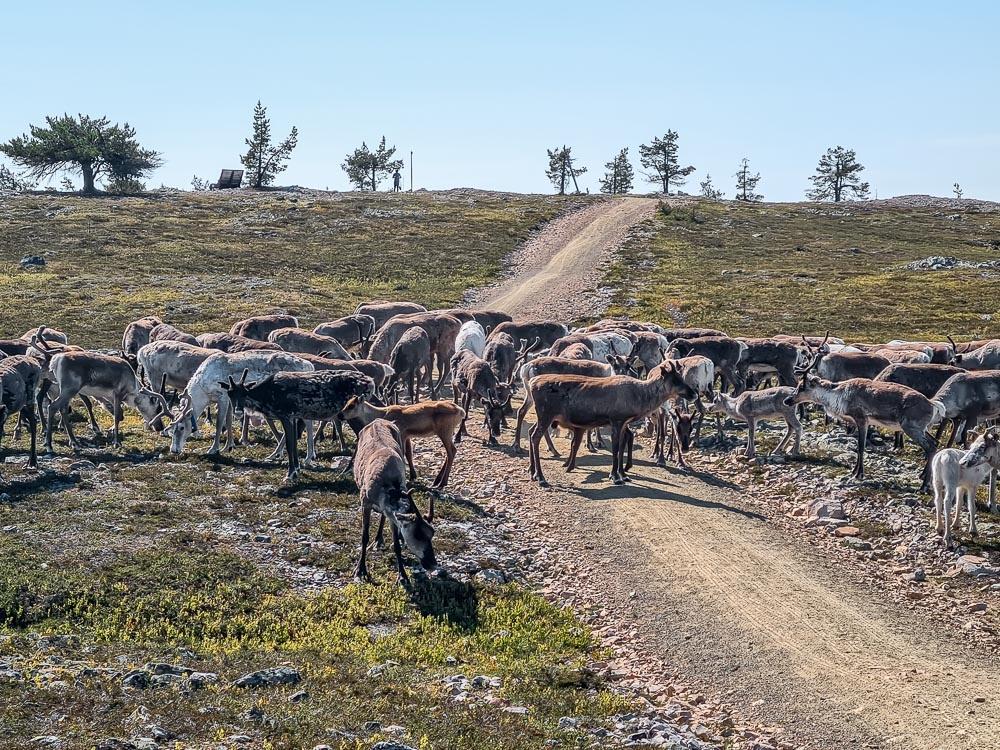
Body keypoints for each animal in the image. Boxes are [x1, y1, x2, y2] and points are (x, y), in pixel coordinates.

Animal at [351, 418, 436, 585]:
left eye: (432, 533)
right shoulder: (365, 502)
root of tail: (378, 420)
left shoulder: (392, 514)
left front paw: (402, 575)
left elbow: (396, 544)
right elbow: (364, 537)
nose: (433, 564)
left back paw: (379, 540)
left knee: (383, 516)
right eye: (417, 534)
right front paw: (360, 570)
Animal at [527, 360, 696, 487]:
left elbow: (621, 447)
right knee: (535, 436)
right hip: (546, 414)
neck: (640, 396)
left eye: (682, 377)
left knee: (531, 432)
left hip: (544, 416)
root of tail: (531, 382)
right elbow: (615, 449)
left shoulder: (624, 423)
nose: (693, 393)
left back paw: (533, 472)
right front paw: (615, 476)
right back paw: (540, 477)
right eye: (675, 380)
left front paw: (622, 474)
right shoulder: (617, 420)